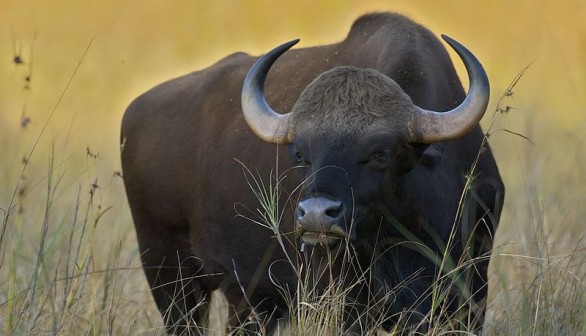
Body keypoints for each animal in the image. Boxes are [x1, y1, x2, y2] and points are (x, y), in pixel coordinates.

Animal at [120, 11, 502, 334]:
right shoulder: (340, 302)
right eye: (301, 154)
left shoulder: (470, 292)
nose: (317, 215)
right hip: (170, 278)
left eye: (380, 153)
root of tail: (136, 111)